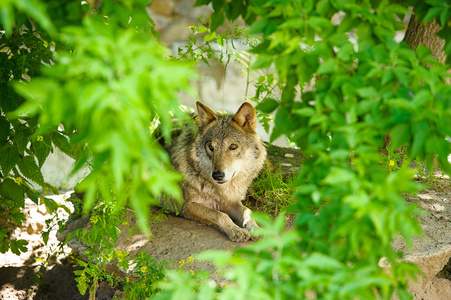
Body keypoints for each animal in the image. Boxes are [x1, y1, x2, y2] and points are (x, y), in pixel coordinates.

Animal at [164, 102, 266, 243]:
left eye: (233, 146)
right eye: (211, 147)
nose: (217, 175)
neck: (219, 189)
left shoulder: (229, 202)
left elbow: (247, 210)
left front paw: (256, 228)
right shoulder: (187, 206)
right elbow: (220, 215)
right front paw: (236, 230)